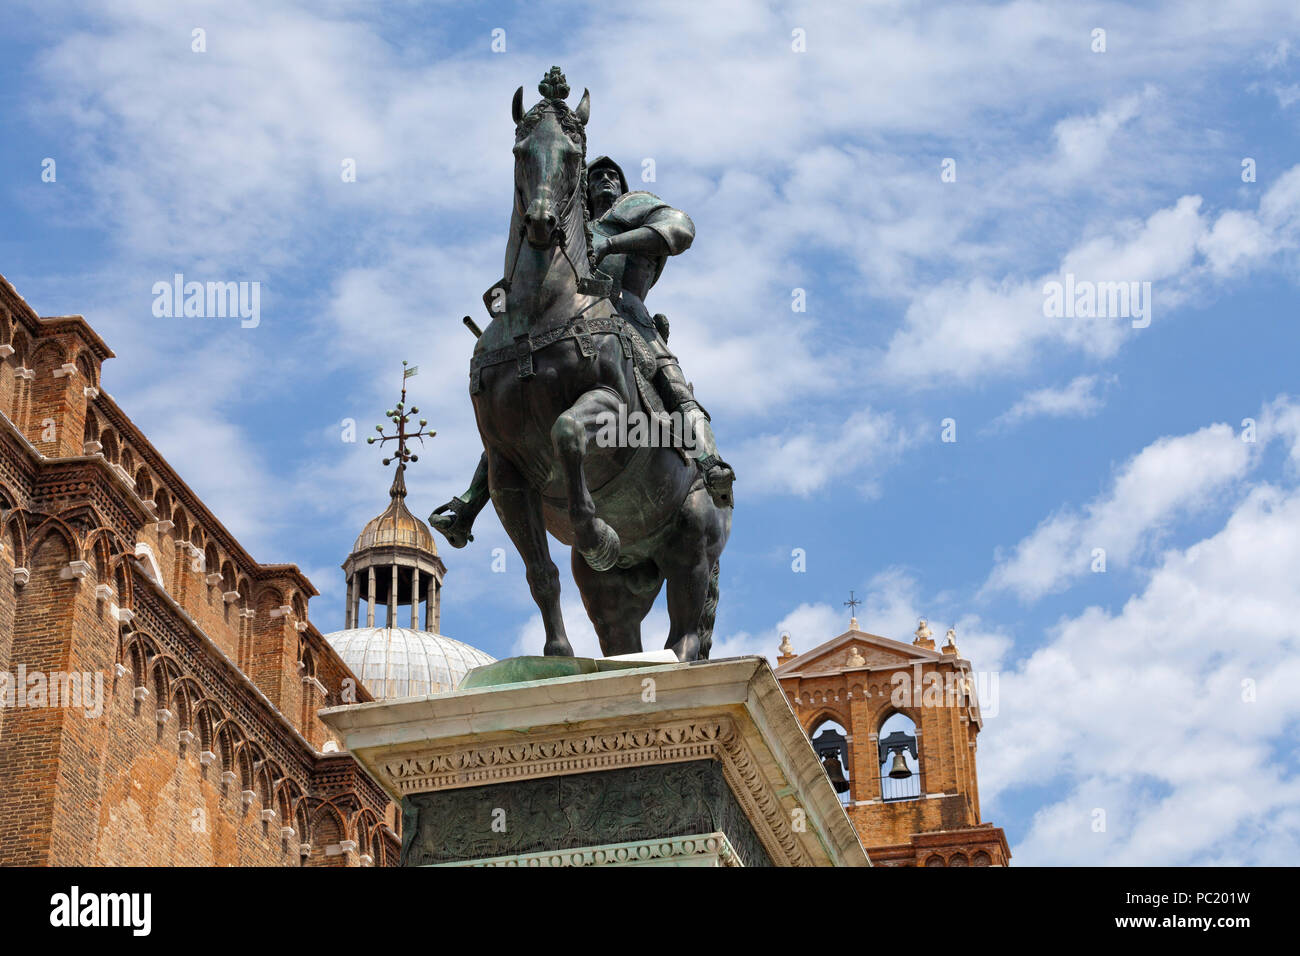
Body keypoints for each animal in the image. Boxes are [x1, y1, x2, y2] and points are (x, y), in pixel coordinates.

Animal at [467, 74, 733, 660]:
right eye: (521, 152)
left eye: (574, 155)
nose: (542, 223)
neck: (538, 316)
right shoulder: (505, 468)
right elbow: (540, 573)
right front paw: (558, 654)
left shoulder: (608, 411)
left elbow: (566, 431)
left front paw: (598, 534)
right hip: (614, 589)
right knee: (621, 639)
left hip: (693, 551)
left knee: (686, 637)